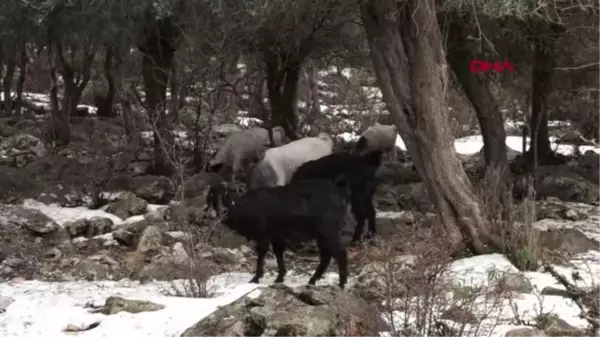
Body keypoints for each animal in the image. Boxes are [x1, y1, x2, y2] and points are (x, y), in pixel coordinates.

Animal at [205, 178, 350, 286]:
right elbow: (278, 253)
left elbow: (262, 254)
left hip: (329, 231)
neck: (245, 206)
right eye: (212, 195)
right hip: (322, 235)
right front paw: (280, 277)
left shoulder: (263, 236)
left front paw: (256, 278)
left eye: (226, 194)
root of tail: (339, 193)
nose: (222, 211)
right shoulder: (277, 236)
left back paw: (341, 284)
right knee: (327, 256)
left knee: (340, 253)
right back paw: (313, 280)